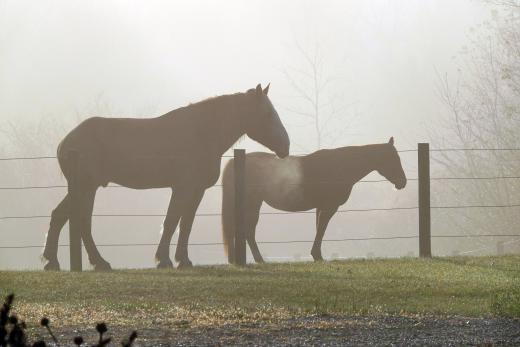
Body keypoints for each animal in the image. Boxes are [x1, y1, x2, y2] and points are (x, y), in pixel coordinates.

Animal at [42, 84, 290, 272]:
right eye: (267, 114)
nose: (285, 146)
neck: (202, 132)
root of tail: (65, 142)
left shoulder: (196, 190)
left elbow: (185, 224)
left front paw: (183, 259)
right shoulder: (182, 188)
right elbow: (171, 222)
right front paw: (165, 259)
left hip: (83, 189)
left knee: (62, 217)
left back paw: (54, 261)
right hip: (86, 188)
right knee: (82, 221)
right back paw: (97, 262)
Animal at [219, 139, 406, 264]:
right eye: (392, 159)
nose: (402, 182)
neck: (340, 166)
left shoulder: (320, 207)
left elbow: (319, 228)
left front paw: (316, 255)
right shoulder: (329, 207)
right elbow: (322, 229)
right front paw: (317, 255)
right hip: (252, 204)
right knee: (249, 231)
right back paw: (258, 259)